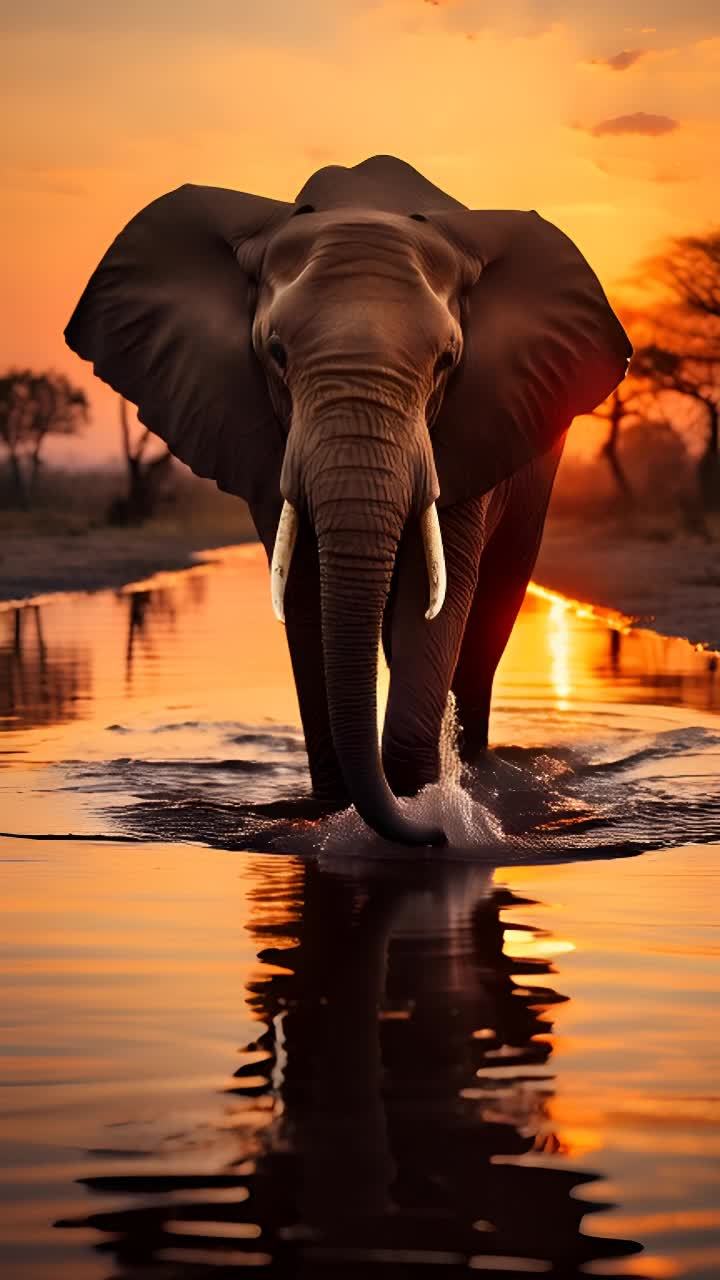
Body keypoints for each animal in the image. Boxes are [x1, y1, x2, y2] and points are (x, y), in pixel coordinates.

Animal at [64, 154, 631, 847]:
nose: (436, 833)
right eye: (276, 354)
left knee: (491, 614)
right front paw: (343, 817)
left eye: (447, 362)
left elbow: (435, 593)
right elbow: (305, 588)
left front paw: (430, 813)